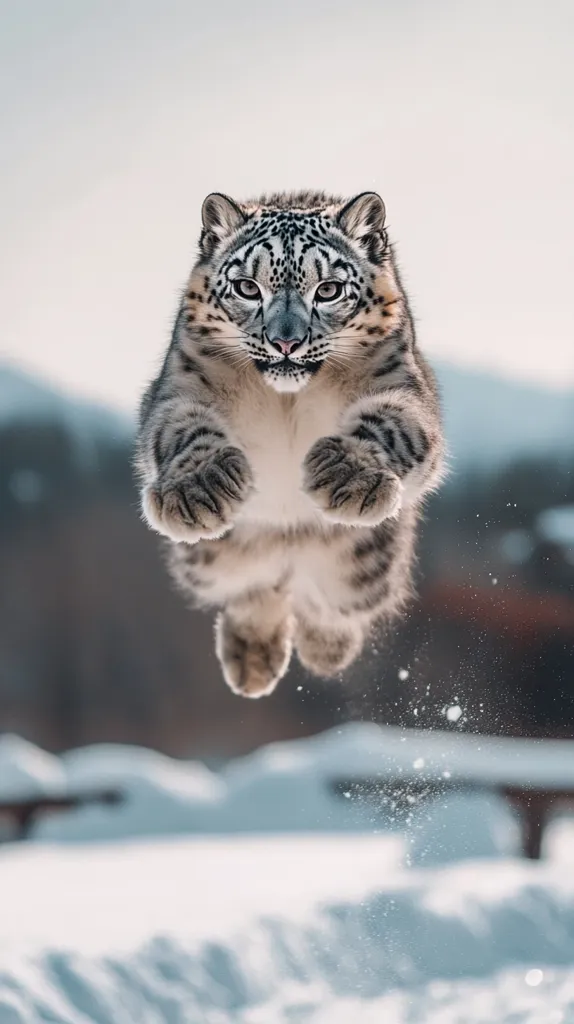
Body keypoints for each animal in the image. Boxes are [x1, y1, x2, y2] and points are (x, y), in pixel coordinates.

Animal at [136, 190, 445, 698]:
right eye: (246, 287)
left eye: (328, 290)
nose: (285, 342)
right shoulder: (182, 388)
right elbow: (186, 429)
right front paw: (196, 489)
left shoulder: (400, 389)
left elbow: (389, 424)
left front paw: (347, 476)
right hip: (209, 560)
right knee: (256, 590)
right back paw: (252, 661)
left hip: (363, 568)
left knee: (329, 605)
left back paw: (324, 650)